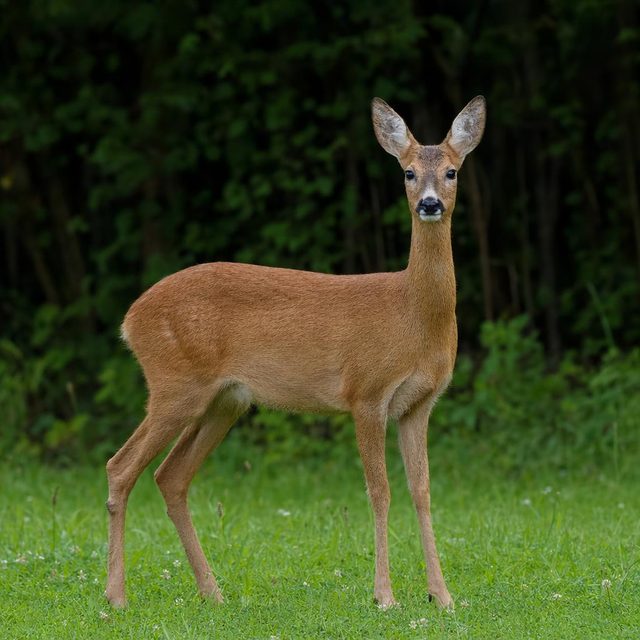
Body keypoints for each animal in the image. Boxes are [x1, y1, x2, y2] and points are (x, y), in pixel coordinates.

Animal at [105, 95, 486, 610]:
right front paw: (385, 596)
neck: (412, 314)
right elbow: (379, 491)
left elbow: (422, 491)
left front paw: (442, 596)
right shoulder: (365, 393)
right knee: (120, 467)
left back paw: (212, 592)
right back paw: (116, 596)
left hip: (224, 401)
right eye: (407, 172)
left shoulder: (419, 404)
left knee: (170, 476)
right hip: (174, 384)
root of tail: (130, 319)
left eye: (451, 171)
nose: (429, 203)